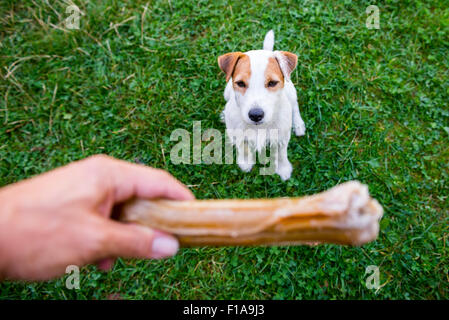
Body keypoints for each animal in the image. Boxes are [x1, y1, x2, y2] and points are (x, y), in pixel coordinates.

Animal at [217, 29, 304, 180]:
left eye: (272, 83)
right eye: (240, 83)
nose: (256, 115)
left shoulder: (281, 137)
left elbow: (281, 154)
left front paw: (283, 169)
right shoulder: (240, 135)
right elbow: (243, 147)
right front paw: (245, 163)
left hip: (292, 93)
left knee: (295, 107)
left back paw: (298, 124)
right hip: (226, 92)